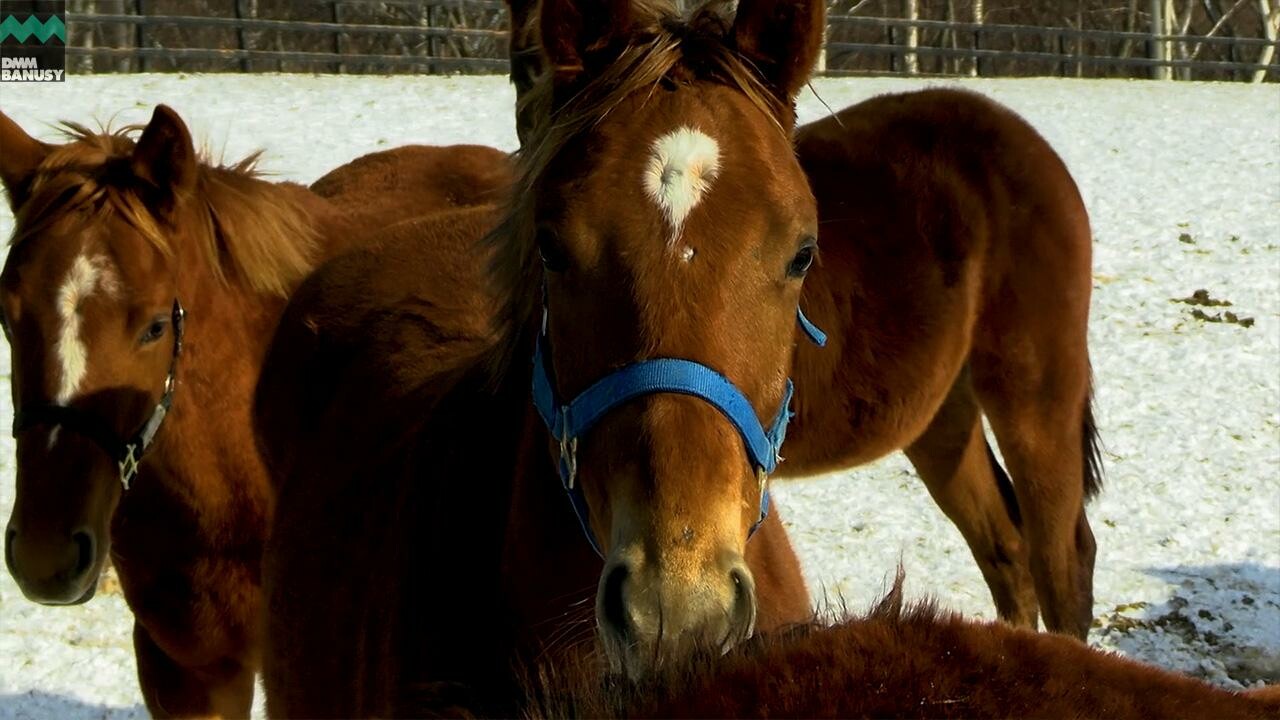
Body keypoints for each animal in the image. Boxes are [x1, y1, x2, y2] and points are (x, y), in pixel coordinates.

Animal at [259, 0, 1100, 707]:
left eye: (803, 252)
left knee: (1062, 558)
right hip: (942, 419)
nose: (676, 611)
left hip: (1033, 397)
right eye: (552, 246)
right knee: (1008, 552)